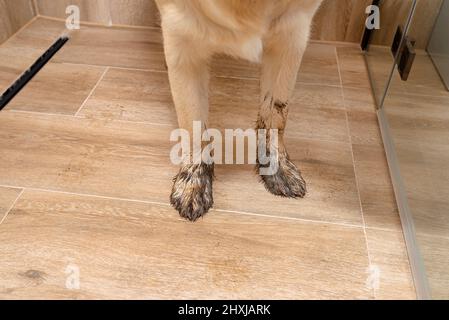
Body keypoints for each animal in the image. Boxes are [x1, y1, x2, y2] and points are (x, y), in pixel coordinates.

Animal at [154, 0, 322, 221]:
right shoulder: (180, 35)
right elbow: (193, 125)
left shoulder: (293, 34)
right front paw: (194, 183)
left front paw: (277, 166)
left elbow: (276, 115)